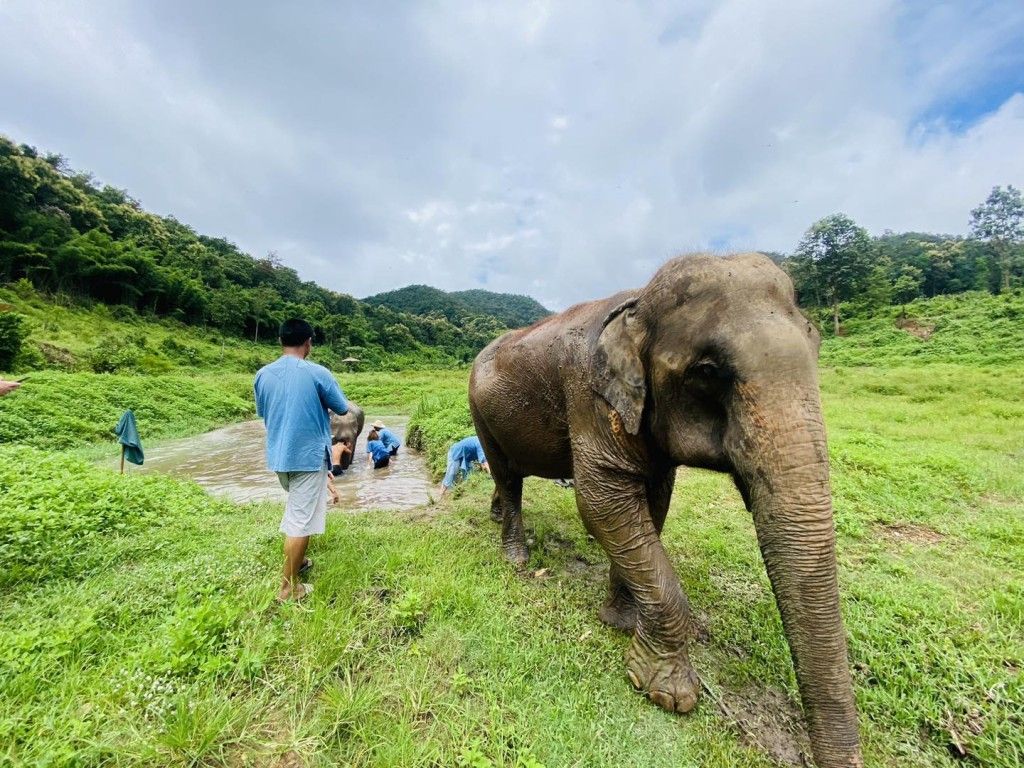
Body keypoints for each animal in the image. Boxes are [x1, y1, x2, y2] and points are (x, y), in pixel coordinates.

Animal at [469, 253, 861, 767]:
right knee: (507, 474)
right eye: (708, 371)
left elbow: (652, 505)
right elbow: (601, 502)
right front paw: (666, 691)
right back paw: (515, 556)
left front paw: (620, 620)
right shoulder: (589, 397)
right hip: (481, 411)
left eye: (816, 343)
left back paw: (497, 517)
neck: (637, 301)